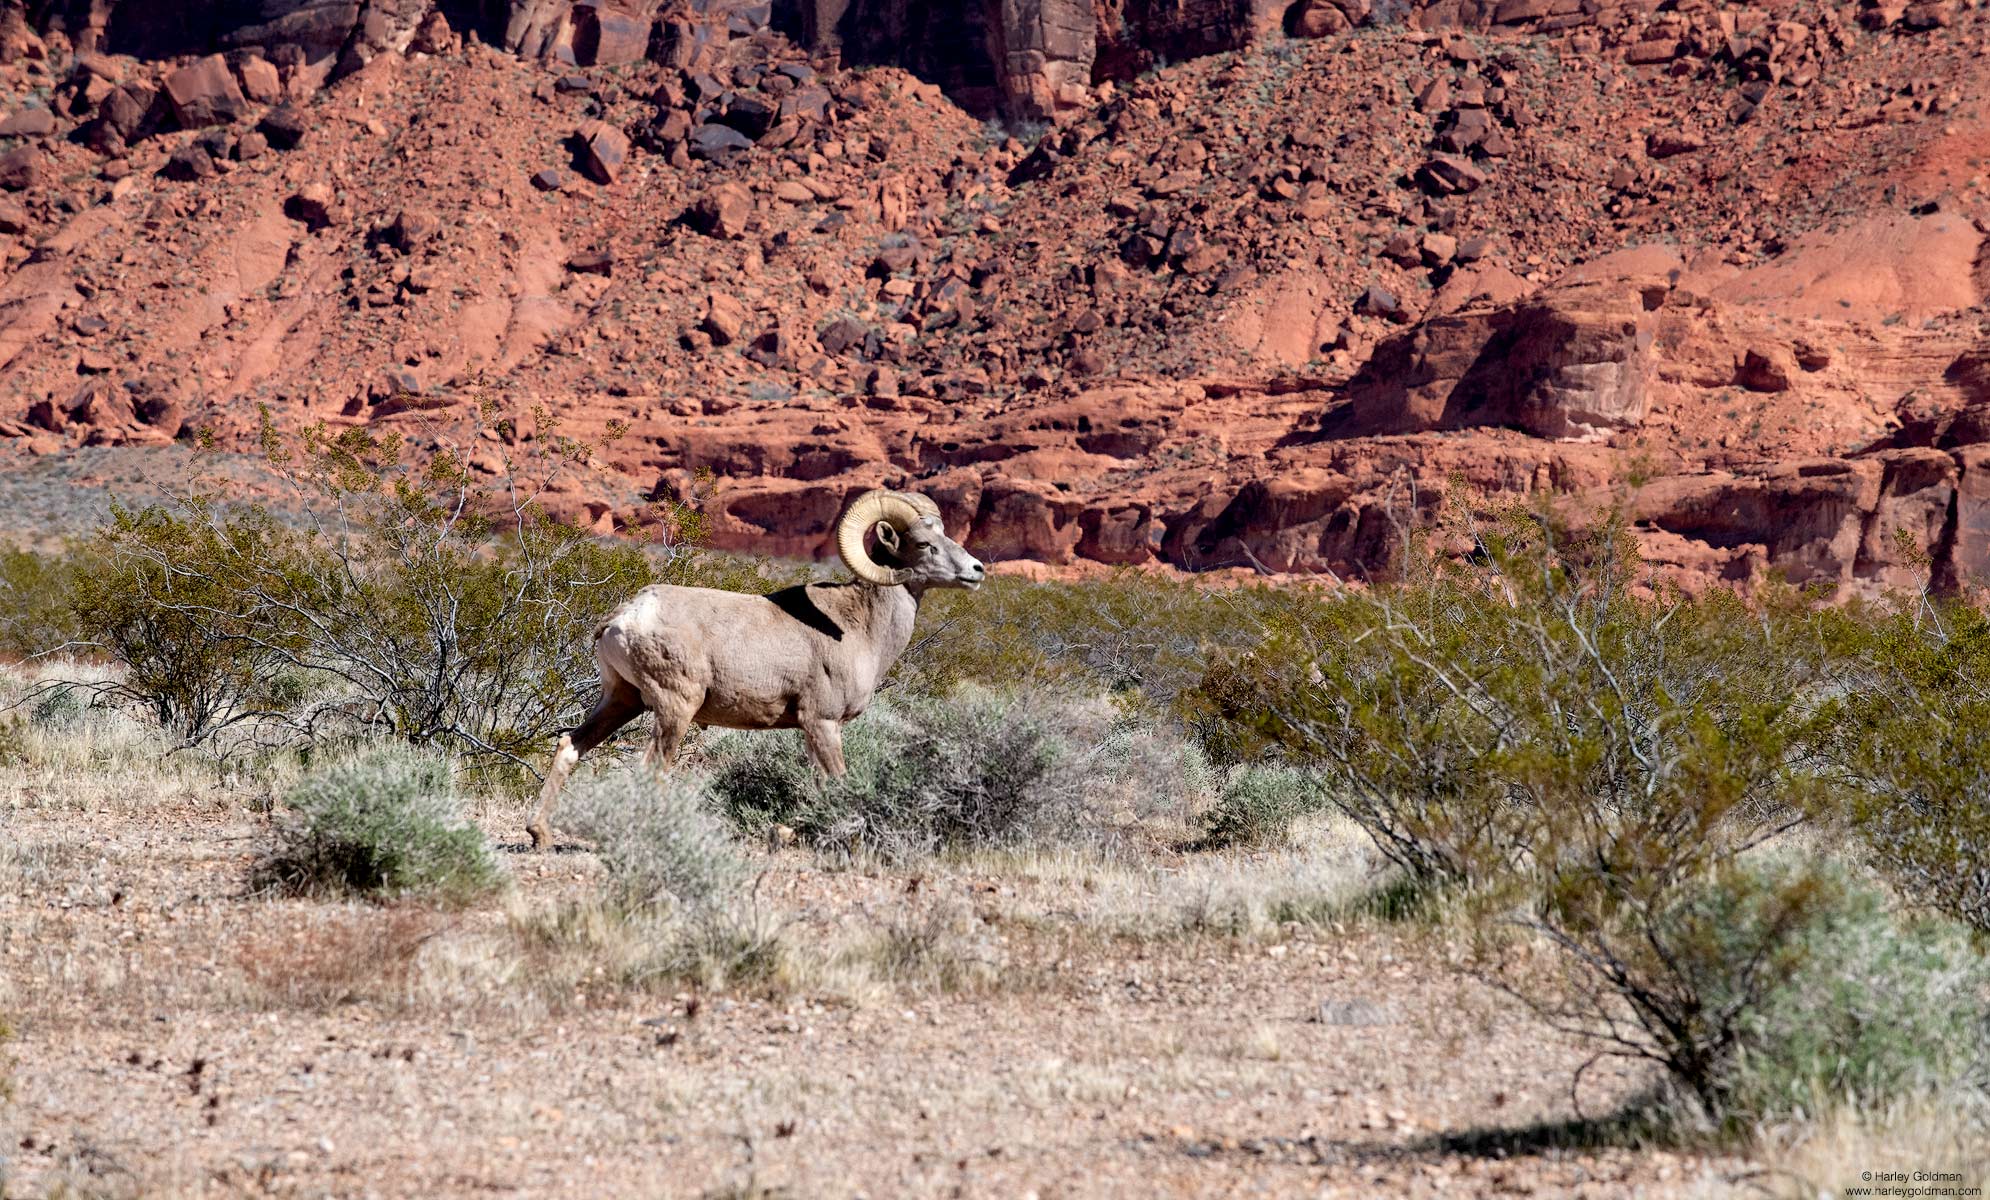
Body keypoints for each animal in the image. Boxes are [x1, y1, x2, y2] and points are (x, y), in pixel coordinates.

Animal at [525, 483, 983, 851]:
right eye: (923, 544)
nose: (976, 571)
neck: (859, 626)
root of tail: (623, 618)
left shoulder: (811, 730)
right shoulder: (823, 722)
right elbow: (837, 782)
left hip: (622, 701)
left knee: (570, 746)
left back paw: (539, 834)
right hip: (675, 708)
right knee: (651, 770)